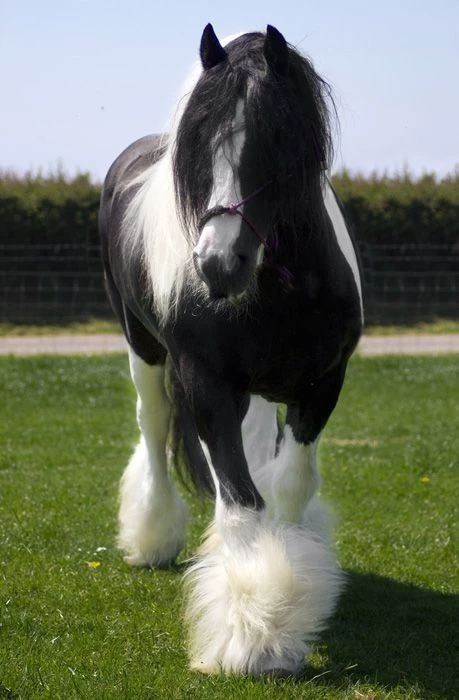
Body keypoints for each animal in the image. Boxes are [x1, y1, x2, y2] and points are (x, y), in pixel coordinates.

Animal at [99, 24, 363, 676]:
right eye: (197, 142)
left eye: (275, 137)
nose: (217, 263)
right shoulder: (209, 388)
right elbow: (242, 501)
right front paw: (256, 632)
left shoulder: (323, 385)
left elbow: (288, 486)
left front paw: (291, 584)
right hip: (143, 349)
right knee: (153, 426)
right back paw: (152, 537)